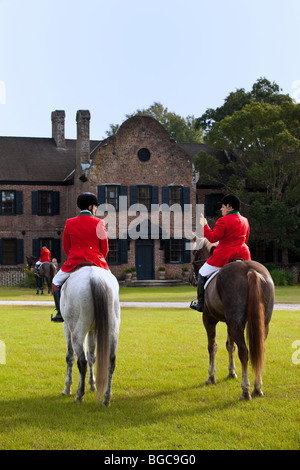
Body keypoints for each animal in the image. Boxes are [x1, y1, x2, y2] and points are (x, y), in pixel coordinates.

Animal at [59, 266, 120, 406]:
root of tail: (94, 277)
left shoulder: (67, 328)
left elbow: (70, 357)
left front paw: (67, 388)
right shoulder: (93, 331)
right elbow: (92, 356)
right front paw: (92, 385)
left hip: (77, 331)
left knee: (82, 361)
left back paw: (79, 395)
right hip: (112, 330)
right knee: (111, 360)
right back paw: (106, 398)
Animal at [190, 239, 274, 400]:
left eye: (196, 253)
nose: (191, 278)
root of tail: (250, 270)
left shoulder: (209, 319)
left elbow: (212, 346)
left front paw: (211, 376)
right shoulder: (230, 323)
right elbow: (230, 346)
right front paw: (231, 372)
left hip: (235, 324)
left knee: (244, 352)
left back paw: (246, 391)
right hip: (262, 323)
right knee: (260, 349)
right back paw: (257, 388)